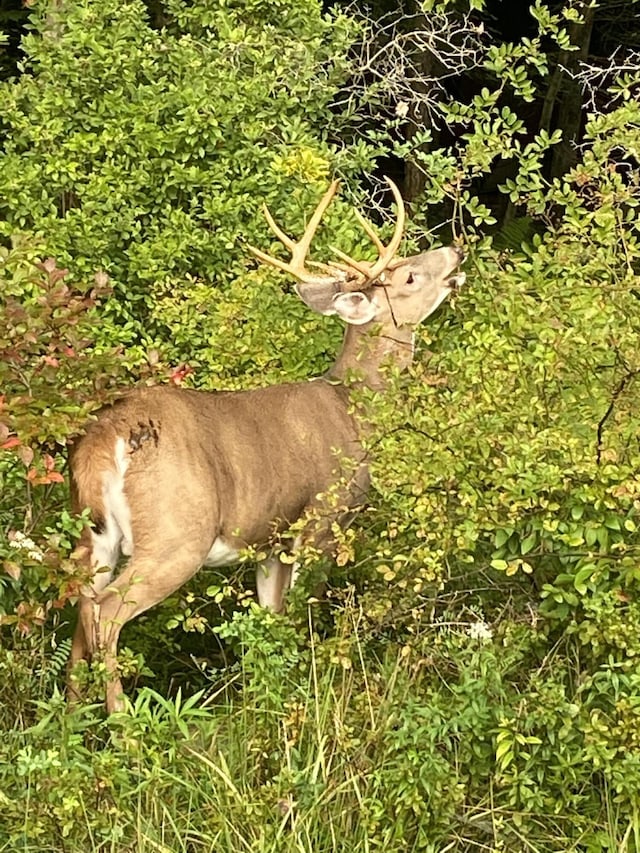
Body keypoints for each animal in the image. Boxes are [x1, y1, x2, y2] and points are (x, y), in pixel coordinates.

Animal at [66, 176, 464, 708]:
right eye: (409, 278)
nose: (456, 252)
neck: (354, 409)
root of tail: (108, 434)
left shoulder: (271, 542)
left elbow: (271, 616)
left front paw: (265, 697)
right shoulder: (321, 520)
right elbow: (299, 612)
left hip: (93, 535)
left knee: (80, 605)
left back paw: (71, 711)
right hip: (176, 533)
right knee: (106, 612)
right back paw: (122, 718)